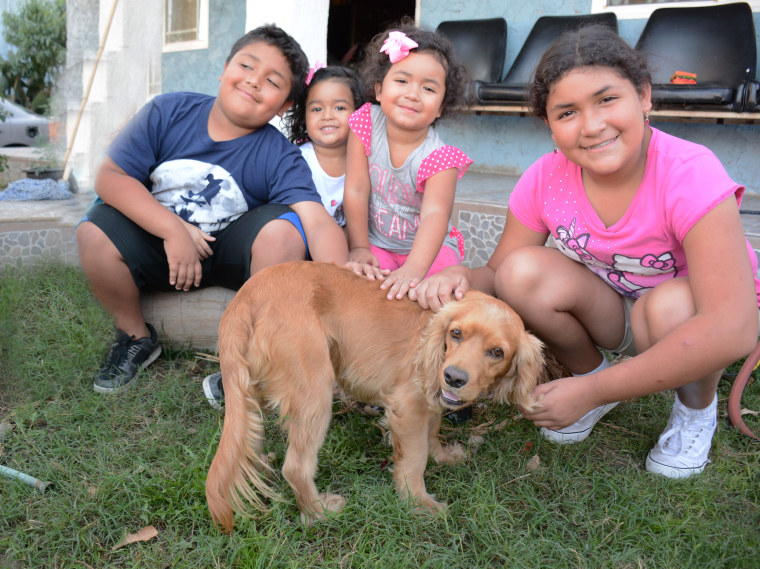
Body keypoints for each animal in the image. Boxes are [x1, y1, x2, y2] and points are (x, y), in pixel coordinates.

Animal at [206, 260, 548, 528]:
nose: (453, 377)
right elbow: (414, 458)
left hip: (253, 392)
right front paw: (417, 501)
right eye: (456, 334)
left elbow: (433, 432)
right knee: (295, 467)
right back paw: (319, 512)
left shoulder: (430, 400)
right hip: (315, 393)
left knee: (249, 437)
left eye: (497, 352)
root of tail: (246, 296)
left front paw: (443, 456)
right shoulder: (408, 406)